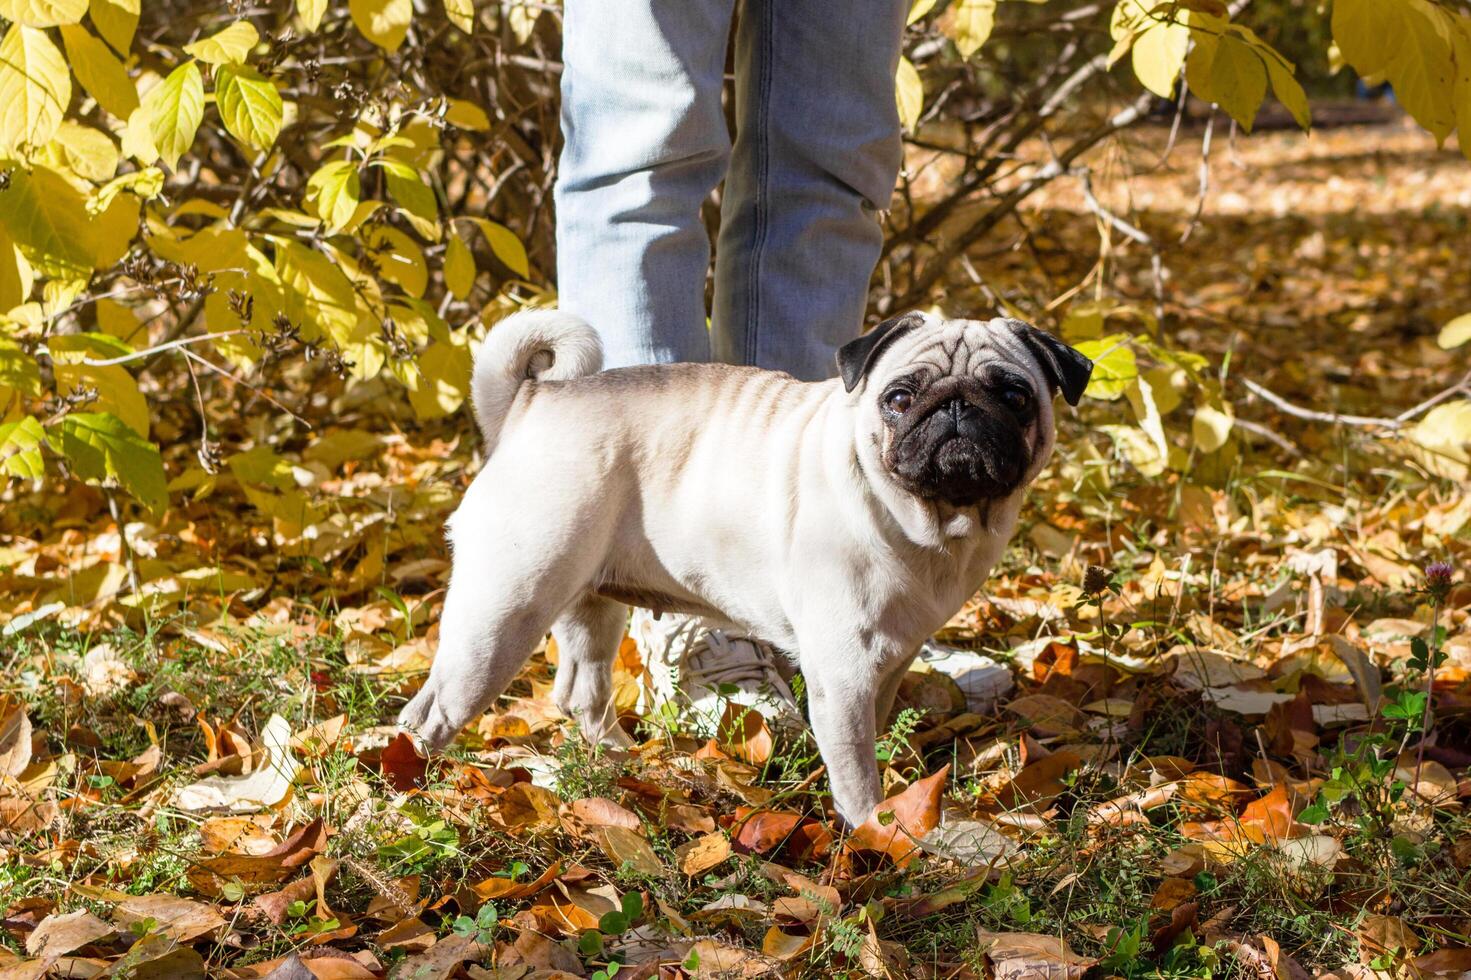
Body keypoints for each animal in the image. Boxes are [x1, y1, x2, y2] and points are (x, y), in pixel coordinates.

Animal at [397, 307, 1088, 824]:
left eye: (1014, 395)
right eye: (900, 397)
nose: (956, 407)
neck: (934, 523)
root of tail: (531, 402)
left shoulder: (890, 659)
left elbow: (877, 734)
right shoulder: (843, 673)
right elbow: (855, 766)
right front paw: (875, 830)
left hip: (589, 603)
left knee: (580, 693)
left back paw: (623, 766)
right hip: (505, 610)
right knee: (432, 711)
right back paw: (414, 790)